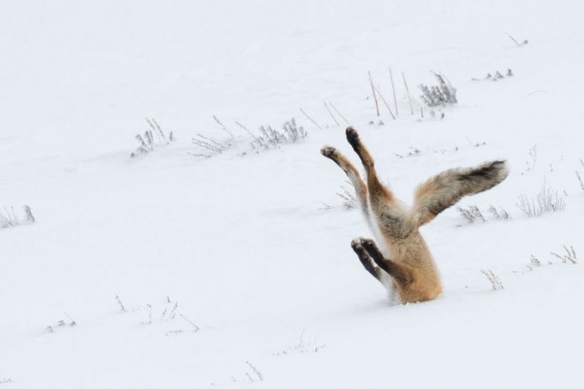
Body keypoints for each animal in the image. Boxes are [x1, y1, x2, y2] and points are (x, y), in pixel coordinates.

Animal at [322, 127, 508, 304]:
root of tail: (414, 221)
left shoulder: (406, 280)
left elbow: (379, 262)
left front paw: (368, 248)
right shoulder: (392, 280)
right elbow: (371, 265)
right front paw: (362, 249)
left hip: (378, 214)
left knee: (368, 169)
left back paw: (351, 141)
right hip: (373, 214)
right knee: (356, 174)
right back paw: (335, 151)